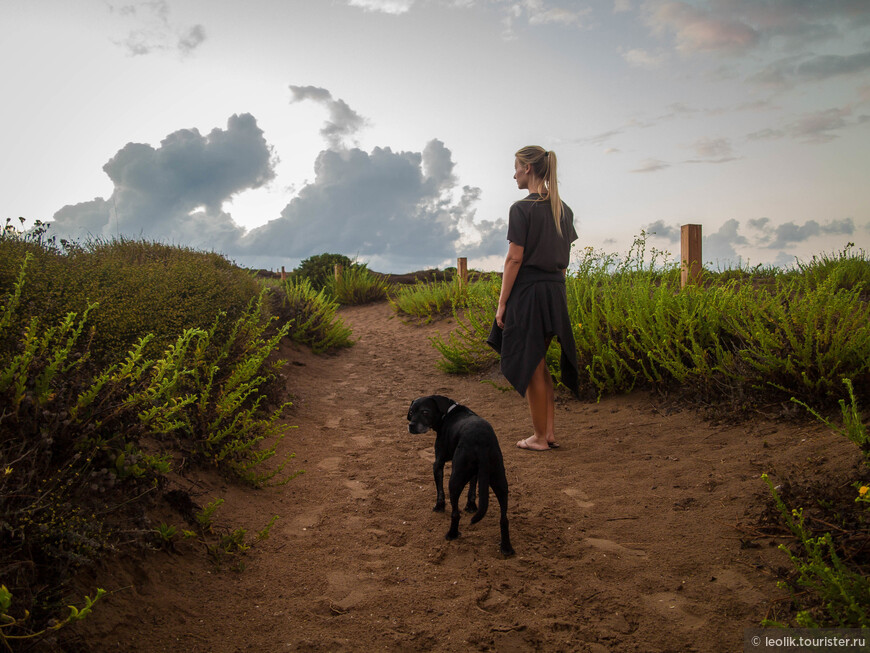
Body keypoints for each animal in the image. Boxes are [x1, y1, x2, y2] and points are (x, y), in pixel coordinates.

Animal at [408, 394, 516, 552]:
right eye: (411, 412)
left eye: (425, 412)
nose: (411, 425)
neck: (448, 412)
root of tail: (482, 441)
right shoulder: (476, 472)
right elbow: (472, 488)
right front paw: (471, 506)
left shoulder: (437, 463)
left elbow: (440, 492)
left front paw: (439, 507)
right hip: (500, 482)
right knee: (504, 519)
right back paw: (506, 548)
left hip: (455, 480)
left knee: (455, 513)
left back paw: (452, 534)